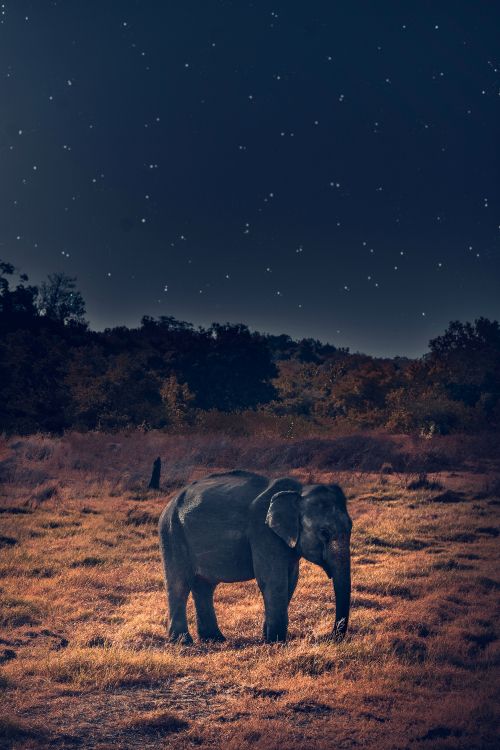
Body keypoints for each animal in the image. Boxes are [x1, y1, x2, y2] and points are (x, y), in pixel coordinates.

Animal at [158, 470, 352, 644]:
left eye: (350, 528)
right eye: (324, 532)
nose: (330, 637)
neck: (298, 492)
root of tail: (170, 503)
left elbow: (291, 581)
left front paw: (267, 638)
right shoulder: (262, 532)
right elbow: (273, 580)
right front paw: (276, 642)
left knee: (204, 586)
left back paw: (214, 639)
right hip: (172, 533)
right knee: (179, 584)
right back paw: (183, 642)